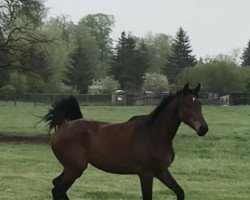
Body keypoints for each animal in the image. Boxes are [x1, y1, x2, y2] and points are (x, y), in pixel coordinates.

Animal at [43, 83, 209, 200]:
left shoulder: (161, 171)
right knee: (58, 190)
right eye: (186, 105)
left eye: (199, 104)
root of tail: (63, 125)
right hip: (75, 168)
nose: (203, 129)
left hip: (71, 168)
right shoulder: (146, 174)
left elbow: (180, 192)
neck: (154, 135)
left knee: (56, 186)